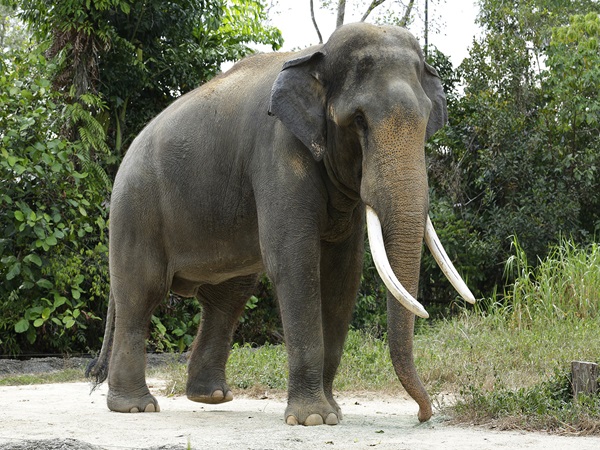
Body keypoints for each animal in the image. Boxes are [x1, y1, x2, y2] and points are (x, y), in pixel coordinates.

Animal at [86, 22, 476, 428]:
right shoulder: (278, 150)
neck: (319, 53)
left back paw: (211, 396)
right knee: (141, 293)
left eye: (426, 121)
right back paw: (136, 407)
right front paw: (314, 419)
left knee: (227, 299)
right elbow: (295, 262)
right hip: (136, 209)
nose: (423, 414)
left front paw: (333, 412)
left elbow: (343, 274)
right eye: (358, 121)